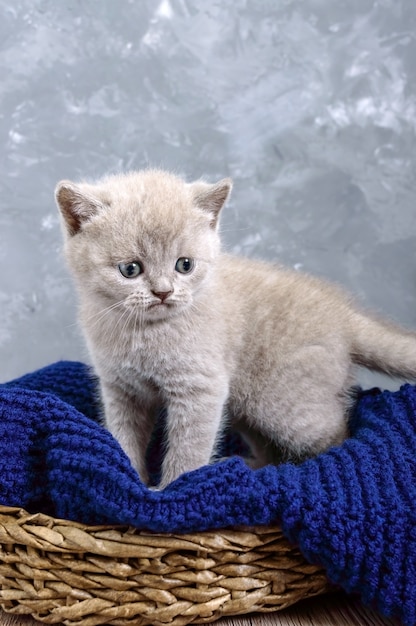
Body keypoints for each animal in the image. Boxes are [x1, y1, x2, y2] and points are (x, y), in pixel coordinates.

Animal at [56, 169, 416, 488]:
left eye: (184, 265)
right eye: (130, 269)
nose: (163, 292)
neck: (142, 333)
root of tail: (343, 313)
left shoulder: (201, 388)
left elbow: (189, 446)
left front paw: (172, 488)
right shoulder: (121, 388)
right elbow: (122, 435)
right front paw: (126, 476)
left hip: (288, 407)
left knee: (336, 433)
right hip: (249, 406)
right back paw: (248, 468)